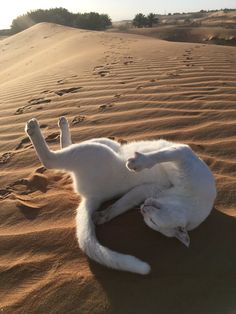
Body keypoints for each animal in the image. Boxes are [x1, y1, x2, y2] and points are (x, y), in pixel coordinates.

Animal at [25, 117, 216, 274]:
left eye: (151, 221)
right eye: (153, 216)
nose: (144, 208)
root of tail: (92, 197)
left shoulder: (148, 189)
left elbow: (122, 203)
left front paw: (103, 215)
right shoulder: (181, 156)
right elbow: (163, 154)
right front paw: (141, 162)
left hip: (95, 151)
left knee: (50, 160)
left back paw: (34, 129)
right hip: (105, 143)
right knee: (67, 148)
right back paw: (60, 124)